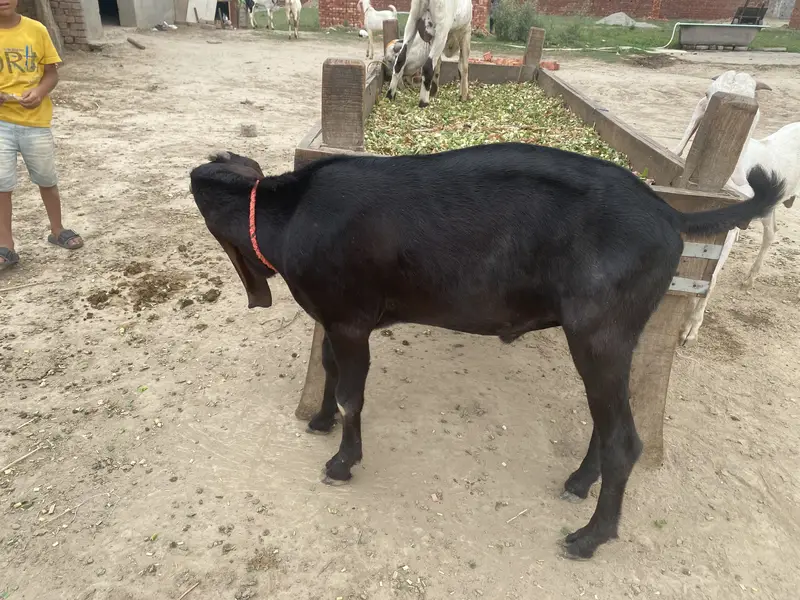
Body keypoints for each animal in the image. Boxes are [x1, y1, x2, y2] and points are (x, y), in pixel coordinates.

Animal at [190, 144, 783, 559]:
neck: (290, 214)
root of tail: (671, 215)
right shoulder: (336, 322)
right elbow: (330, 369)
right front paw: (318, 422)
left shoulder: (351, 321)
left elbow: (352, 396)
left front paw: (341, 462)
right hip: (610, 339)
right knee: (606, 420)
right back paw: (577, 483)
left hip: (600, 332)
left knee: (625, 439)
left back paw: (589, 537)